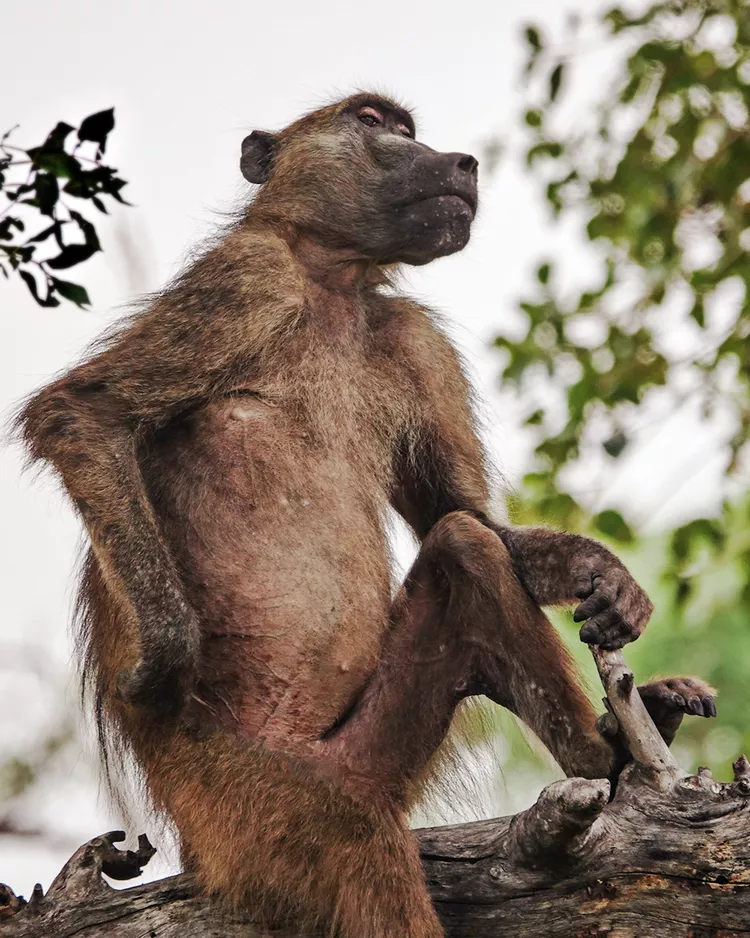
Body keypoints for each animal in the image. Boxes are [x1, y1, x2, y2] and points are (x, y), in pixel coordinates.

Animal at [16, 93, 716, 938]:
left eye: (410, 130)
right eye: (375, 122)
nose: (459, 162)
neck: (334, 286)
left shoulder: (415, 337)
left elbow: (460, 513)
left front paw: (601, 575)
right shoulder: (248, 279)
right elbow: (80, 414)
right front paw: (163, 659)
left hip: (369, 754)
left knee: (465, 548)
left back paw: (608, 753)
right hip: (269, 806)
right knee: (364, 868)